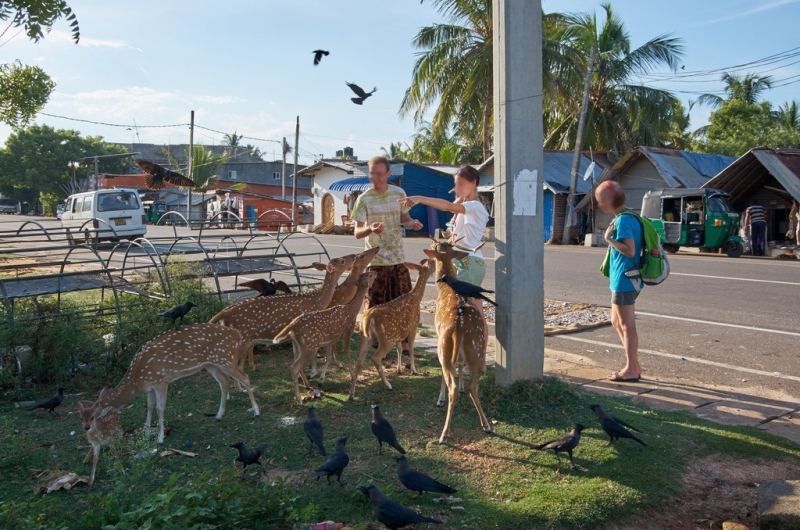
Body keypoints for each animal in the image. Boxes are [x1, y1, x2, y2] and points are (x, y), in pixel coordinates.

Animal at [96, 322, 260, 442]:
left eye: (94, 417)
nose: (92, 432)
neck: (137, 380)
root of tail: (237, 334)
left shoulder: (161, 380)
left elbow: (159, 408)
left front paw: (160, 438)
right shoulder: (151, 386)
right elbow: (149, 406)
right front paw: (146, 429)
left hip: (226, 359)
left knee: (245, 377)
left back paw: (256, 411)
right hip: (212, 364)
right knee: (224, 382)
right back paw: (219, 415)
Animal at [274, 270, 376, 402]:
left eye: (366, 273)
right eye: (369, 275)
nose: (375, 271)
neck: (352, 310)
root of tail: (292, 326)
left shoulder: (330, 338)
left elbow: (328, 357)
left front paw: (321, 381)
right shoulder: (347, 332)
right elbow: (347, 355)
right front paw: (353, 375)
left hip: (297, 346)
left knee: (295, 365)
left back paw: (307, 385)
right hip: (309, 346)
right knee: (293, 367)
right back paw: (299, 399)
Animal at [348, 258, 434, 398]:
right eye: (432, 263)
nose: (436, 262)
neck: (416, 297)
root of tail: (368, 319)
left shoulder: (398, 333)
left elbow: (400, 349)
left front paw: (399, 369)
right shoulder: (413, 325)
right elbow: (411, 348)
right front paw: (413, 370)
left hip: (366, 337)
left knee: (359, 360)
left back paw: (351, 392)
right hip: (386, 338)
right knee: (375, 357)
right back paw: (388, 385)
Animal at [422, 238, 490, 442]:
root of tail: (459, 326)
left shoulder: (438, 336)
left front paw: (440, 398)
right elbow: (460, 363)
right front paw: (460, 386)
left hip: (443, 346)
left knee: (449, 379)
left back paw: (444, 433)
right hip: (477, 348)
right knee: (473, 386)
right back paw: (486, 425)